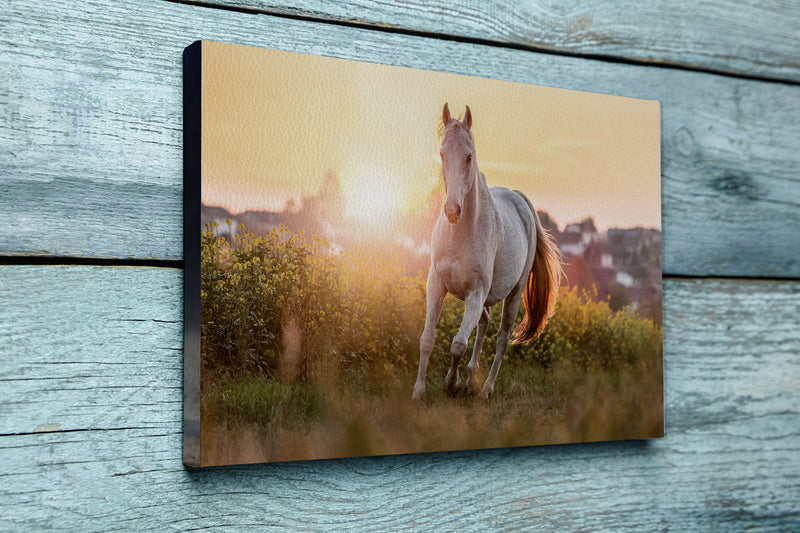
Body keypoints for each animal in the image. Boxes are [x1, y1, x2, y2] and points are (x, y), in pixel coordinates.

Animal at [412, 103, 564, 400]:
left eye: (469, 156)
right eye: (442, 154)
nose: (452, 210)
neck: (460, 234)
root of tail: (519, 199)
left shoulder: (475, 295)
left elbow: (458, 344)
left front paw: (451, 384)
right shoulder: (436, 285)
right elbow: (427, 339)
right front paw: (419, 391)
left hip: (514, 294)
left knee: (502, 338)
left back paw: (486, 389)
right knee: (483, 323)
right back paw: (473, 377)